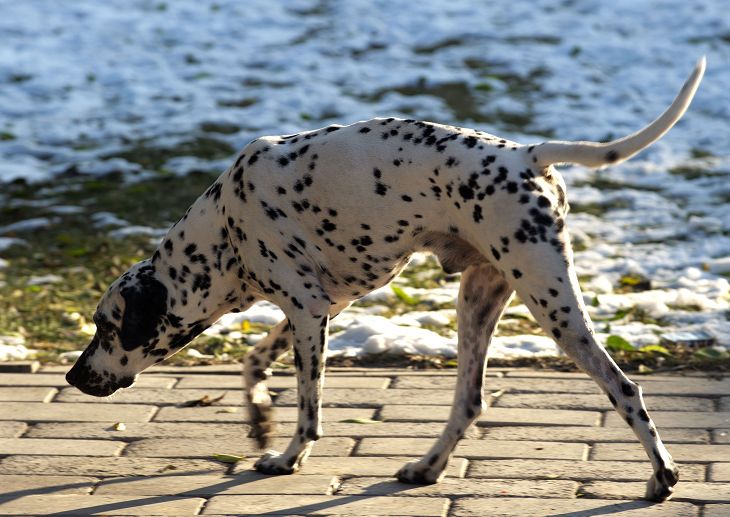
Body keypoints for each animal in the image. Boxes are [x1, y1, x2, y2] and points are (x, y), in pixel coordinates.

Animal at [68, 56, 704, 500]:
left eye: (106, 327)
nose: (74, 377)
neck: (224, 225)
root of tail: (527, 154)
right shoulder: (319, 308)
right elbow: (252, 363)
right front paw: (260, 421)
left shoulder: (308, 313)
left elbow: (310, 410)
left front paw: (289, 456)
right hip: (478, 302)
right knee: (469, 401)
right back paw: (427, 467)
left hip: (552, 306)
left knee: (624, 388)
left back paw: (663, 478)